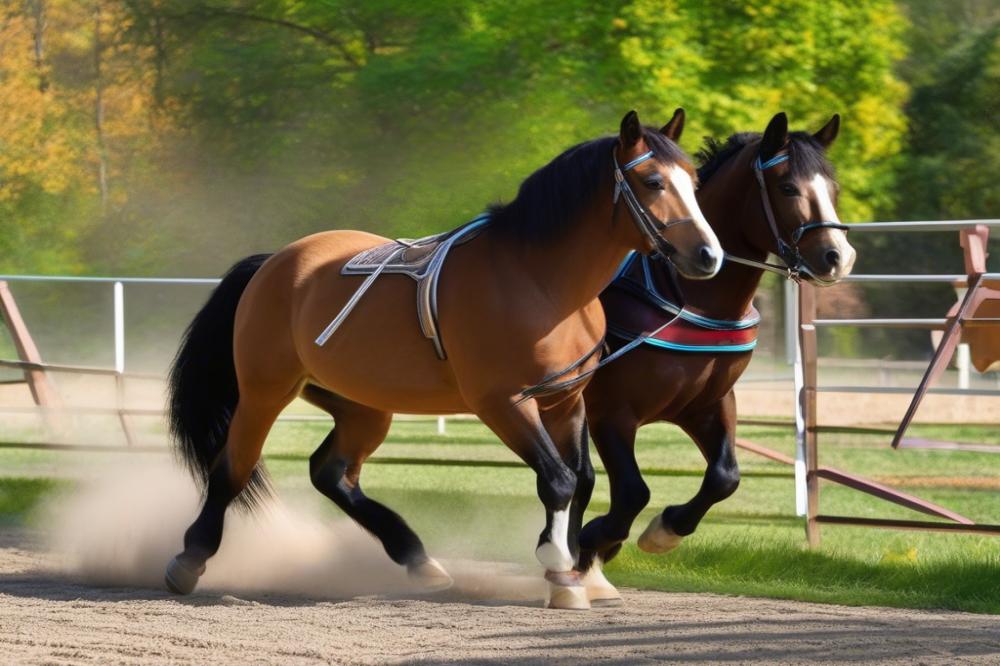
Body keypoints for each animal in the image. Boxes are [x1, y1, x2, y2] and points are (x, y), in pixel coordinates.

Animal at [166, 109, 728, 608]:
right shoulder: (504, 403)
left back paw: (420, 561)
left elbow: (583, 481)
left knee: (332, 474)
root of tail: (276, 263)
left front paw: (569, 574)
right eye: (653, 181)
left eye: (695, 180)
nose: (708, 256)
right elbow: (559, 480)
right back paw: (189, 560)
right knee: (232, 468)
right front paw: (557, 565)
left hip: (363, 405)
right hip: (265, 392)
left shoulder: (566, 402)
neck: (539, 282)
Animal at [580, 111, 860, 600]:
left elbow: (725, 476)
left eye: (833, 188)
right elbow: (632, 492)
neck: (687, 296)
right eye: (788, 187)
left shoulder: (708, 404)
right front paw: (597, 540)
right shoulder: (611, 413)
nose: (837, 256)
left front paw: (664, 530)